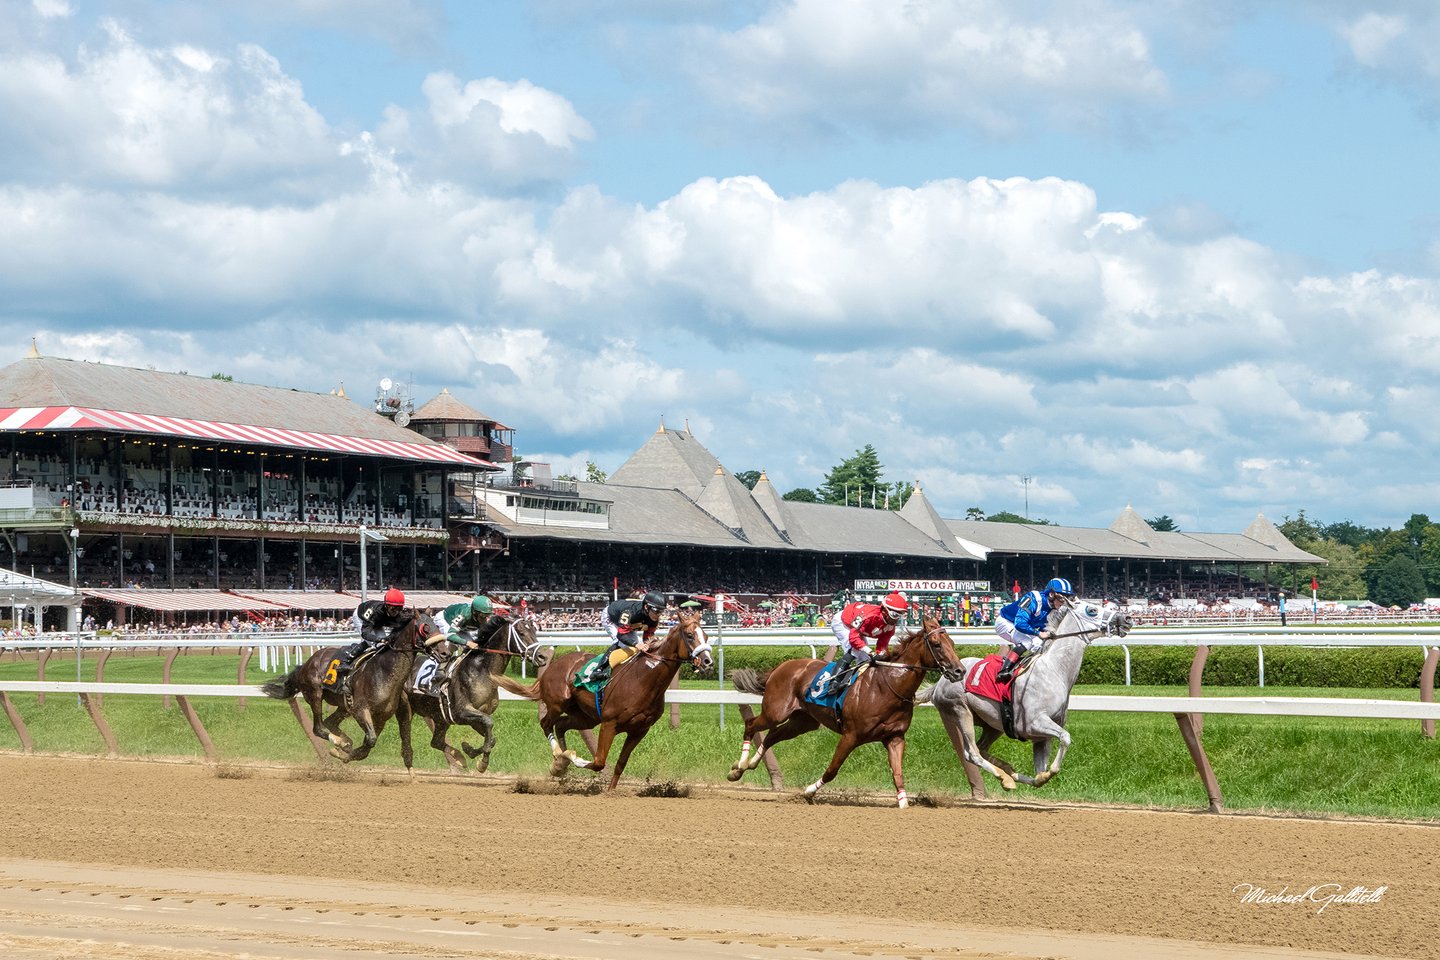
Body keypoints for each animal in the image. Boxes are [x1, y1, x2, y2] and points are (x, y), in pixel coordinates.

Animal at [263, 616, 432, 765]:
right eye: (424, 629)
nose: (438, 649)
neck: (384, 670)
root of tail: (305, 664)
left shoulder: (381, 716)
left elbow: (368, 743)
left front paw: (347, 752)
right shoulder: (360, 710)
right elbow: (370, 739)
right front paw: (344, 750)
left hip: (343, 705)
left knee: (330, 722)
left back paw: (344, 742)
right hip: (314, 693)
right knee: (318, 727)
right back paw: (340, 742)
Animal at [411, 616, 555, 771]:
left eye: (535, 631)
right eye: (521, 633)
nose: (542, 657)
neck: (481, 671)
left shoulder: (477, 715)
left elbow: (491, 738)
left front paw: (469, 750)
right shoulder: (460, 712)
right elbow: (489, 724)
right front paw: (482, 762)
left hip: (439, 718)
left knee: (436, 742)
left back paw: (459, 758)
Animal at [495, 613, 714, 794]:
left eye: (706, 635)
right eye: (690, 635)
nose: (707, 661)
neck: (644, 677)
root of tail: (554, 664)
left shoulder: (639, 730)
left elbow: (621, 763)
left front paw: (610, 791)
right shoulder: (609, 723)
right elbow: (599, 761)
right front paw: (574, 758)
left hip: (587, 717)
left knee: (561, 725)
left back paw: (561, 761)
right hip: (558, 703)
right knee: (546, 723)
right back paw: (559, 760)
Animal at [725, 616, 961, 811]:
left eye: (952, 643)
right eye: (937, 644)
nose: (960, 671)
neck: (887, 686)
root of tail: (782, 666)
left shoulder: (895, 737)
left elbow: (898, 773)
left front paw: (904, 803)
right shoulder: (851, 736)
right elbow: (832, 770)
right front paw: (808, 792)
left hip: (804, 722)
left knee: (772, 736)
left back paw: (747, 765)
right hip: (776, 712)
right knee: (751, 725)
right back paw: (739, 767)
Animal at [915, 595, 1128, 794]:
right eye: (1092, 610)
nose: (1125, 618)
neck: (1054, 671)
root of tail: (940, 682)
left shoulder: (1042, 737)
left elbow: (1039, 773)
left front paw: (1036, 776)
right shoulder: (1034, 723)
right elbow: (1065, 738)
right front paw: (1045, 773)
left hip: (994, 724)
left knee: (982, 748)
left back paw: (1008, 774)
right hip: (960, 710)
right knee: (973, 753)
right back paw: (1006, 778)